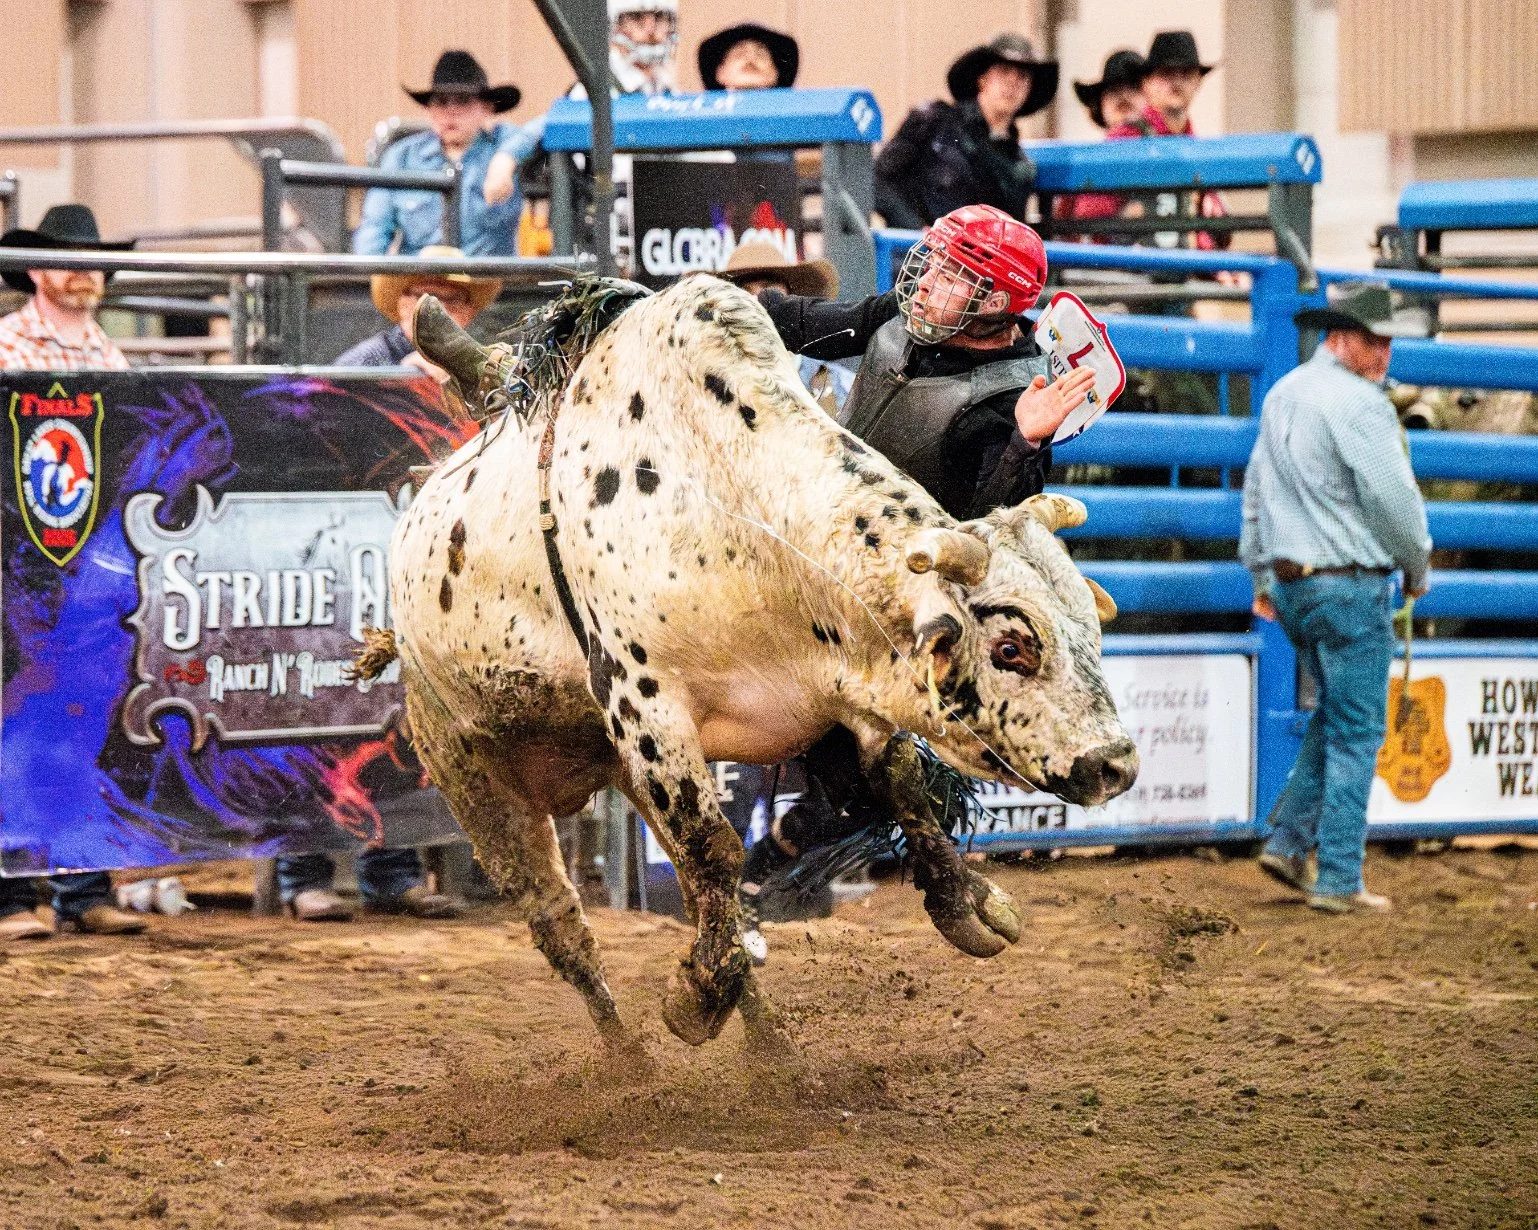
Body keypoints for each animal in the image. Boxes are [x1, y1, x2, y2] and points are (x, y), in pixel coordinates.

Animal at [360, 275, 1137, 1055]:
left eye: (1091, 632)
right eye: (1012, 647)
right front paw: (694, 1003)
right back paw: (630, 1063)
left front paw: (965, 903)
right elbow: (716, 850)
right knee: (562, 923)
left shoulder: (846, 693)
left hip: (619, 768)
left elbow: (897, 784)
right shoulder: (649, 709)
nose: (1115, 765)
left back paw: (773, 1052)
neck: (738, 506)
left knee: (705, 900)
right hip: (471, 766)